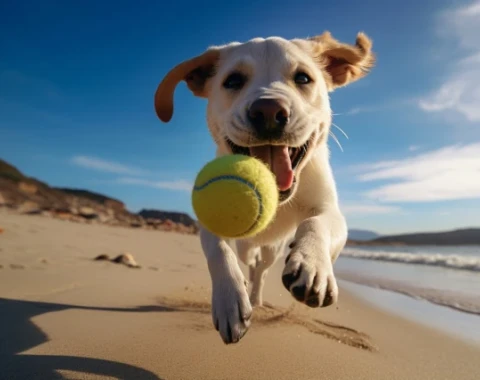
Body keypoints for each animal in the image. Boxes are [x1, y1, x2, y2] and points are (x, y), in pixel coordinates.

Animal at [154, 29, 376, 344]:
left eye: (303, 78)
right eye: (233, 80)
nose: (269, 111)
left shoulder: (329, 210)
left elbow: (316, 223)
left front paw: (313, 265)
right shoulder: (209, 222)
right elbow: (218, 251)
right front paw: (229, 300)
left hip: (273, 249)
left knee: (262, 269)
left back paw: (257, 296)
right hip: (247, 245)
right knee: (249, 261)